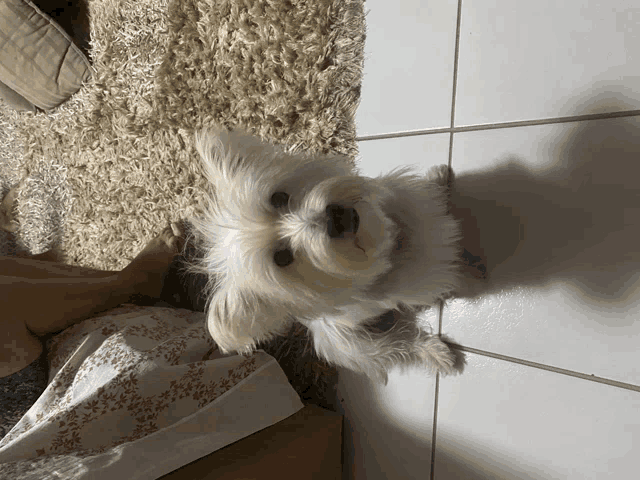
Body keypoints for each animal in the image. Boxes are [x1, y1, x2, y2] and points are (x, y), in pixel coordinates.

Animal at [185, 128, 464, 382]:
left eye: (278, 198)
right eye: (282, 258)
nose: (334, 218)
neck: (389, 242)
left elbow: (429, 193)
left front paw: (439, 179)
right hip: (355, 346)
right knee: (399, 346)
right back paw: (438, 353)